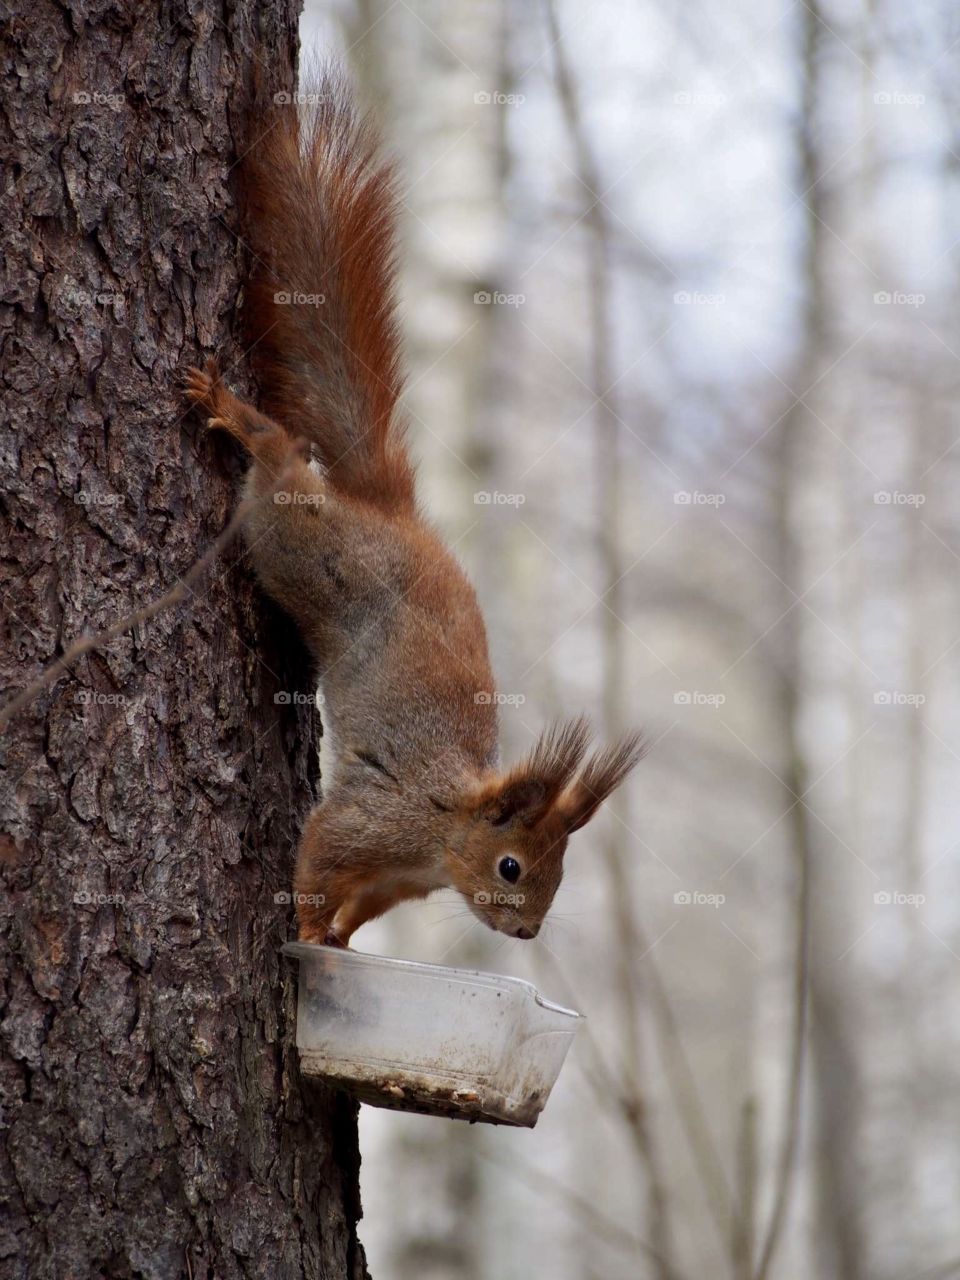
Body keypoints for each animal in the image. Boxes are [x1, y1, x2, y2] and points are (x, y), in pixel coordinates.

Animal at [185, 72, 644, 949]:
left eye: (560, 874)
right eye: (513, 868)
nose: (528, 935)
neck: (441, 836)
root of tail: (391, 512)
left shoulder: (397, 882)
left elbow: (359, 907)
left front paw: (336, 941)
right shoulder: (373, 822)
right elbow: (317, 855)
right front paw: (306, 933)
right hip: (295, 539)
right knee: (281, 461)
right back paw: (236, 413)